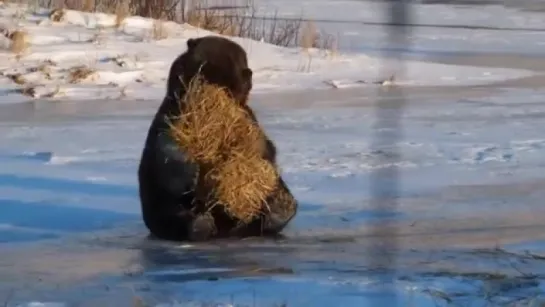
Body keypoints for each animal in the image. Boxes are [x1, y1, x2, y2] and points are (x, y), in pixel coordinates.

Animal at [136, 35, 298, 243]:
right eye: (227, 59)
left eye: (241, 59)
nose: (246, 73)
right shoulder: (171, 118)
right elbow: (167, 151)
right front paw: (192, 170)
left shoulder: (250, 120)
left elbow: (264, 149)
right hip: (159, 207)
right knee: (175, 215)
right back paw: (200, 224)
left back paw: (280, 208)